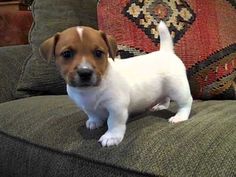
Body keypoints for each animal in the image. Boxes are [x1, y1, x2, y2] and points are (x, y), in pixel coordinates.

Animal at [39, 21, 193, 147]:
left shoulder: (116, 107)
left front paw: (111, 136)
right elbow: (92, 113)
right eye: (67, 54)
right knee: (165, 97)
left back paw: (180, 116)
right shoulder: (86, 105)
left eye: (98, 53)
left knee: (186, 102)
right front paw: (94, 121)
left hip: (177, 89)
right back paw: (161, 105)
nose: (85, 72)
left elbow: (113, 122)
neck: (90, 90)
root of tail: (166, 52)